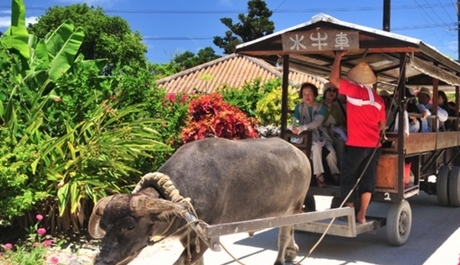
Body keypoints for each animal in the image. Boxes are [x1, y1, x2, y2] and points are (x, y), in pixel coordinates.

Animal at [88, 136, 310, 264]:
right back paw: (292, 251)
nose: (102, 261)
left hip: (294, 207)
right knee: (290, 230)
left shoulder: (206, 236)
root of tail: (302, 156)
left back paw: (281, 259)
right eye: (105, 226)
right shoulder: (188, 236)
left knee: (284, 234)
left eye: (130, 226)